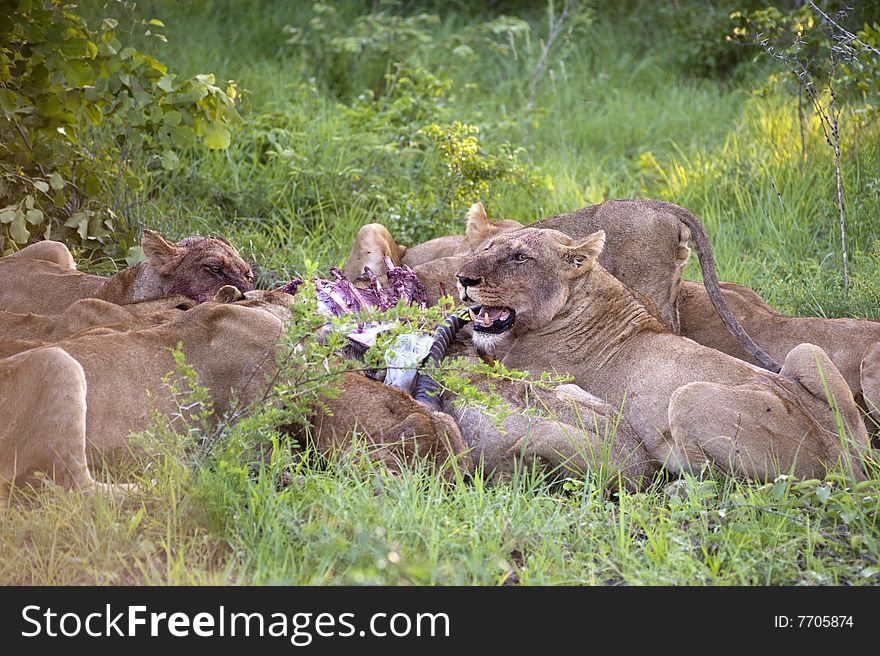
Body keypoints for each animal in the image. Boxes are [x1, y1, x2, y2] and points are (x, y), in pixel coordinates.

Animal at [454, 227, 872, 482]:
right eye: (486, 249)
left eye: (520, 257)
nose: (463, 278)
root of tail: (845, 458)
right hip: (806, 354)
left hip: (689, 395)